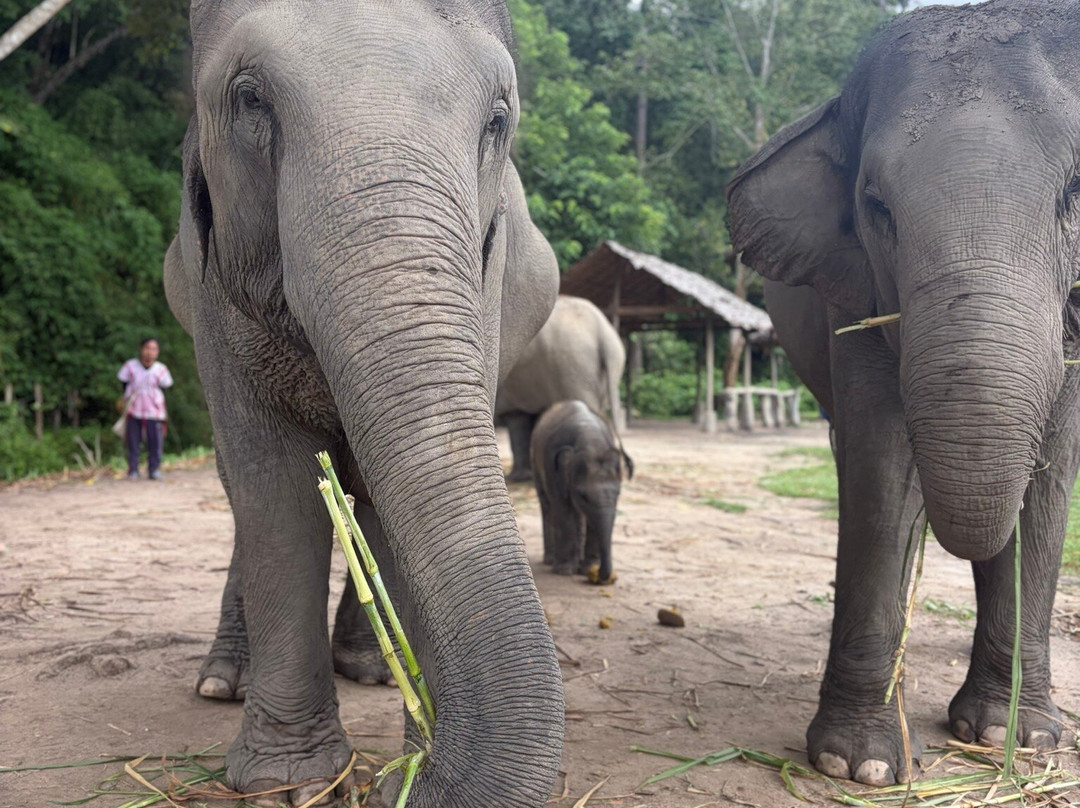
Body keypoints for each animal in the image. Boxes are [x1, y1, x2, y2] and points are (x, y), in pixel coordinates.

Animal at [162, 2, 567, 805]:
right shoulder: (209, 288)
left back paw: (373, 670)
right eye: (250, 99)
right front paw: (290, 783)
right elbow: (274, 491)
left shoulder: (489, 290)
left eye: (498, 120)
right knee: (241, 489)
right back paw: (225, 681)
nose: (406, 776)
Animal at [531, 400, 633, 583]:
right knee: (547, 506)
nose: (603, 576)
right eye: (583, 496)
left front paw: (587, 569)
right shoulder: (552, 469)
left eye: (618, 494)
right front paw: (564, 571)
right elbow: (563, 511)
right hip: (535, 464)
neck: (591, 439)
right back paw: (550, 560)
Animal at [726, 0, 1080, 788]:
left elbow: (1049, 481)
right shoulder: (851, 290)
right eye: (875, 204)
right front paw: (857, 764)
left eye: (1076, 194)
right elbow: (880, 473)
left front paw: (1017, 737)